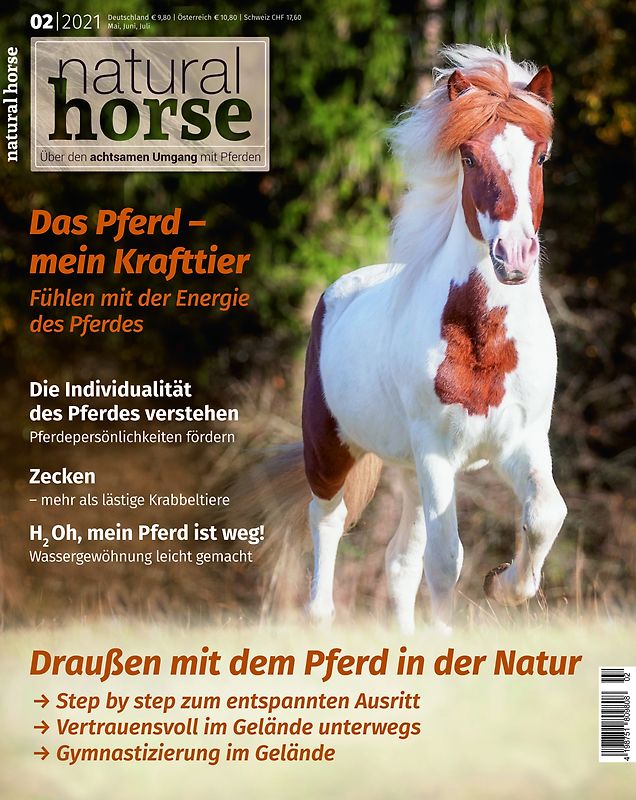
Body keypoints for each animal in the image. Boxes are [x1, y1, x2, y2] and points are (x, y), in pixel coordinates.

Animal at [301, 44, 567, 633]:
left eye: (540, 158)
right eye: (467, 158)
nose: (514, 257)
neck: (483, 343)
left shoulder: (522, 442)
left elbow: (544, 514)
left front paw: (504, 584)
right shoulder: (438, 452)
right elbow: (446, 561)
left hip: (406, 470)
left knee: (399, 560)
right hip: (333, 448)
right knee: (328, 521)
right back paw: (320, 617)